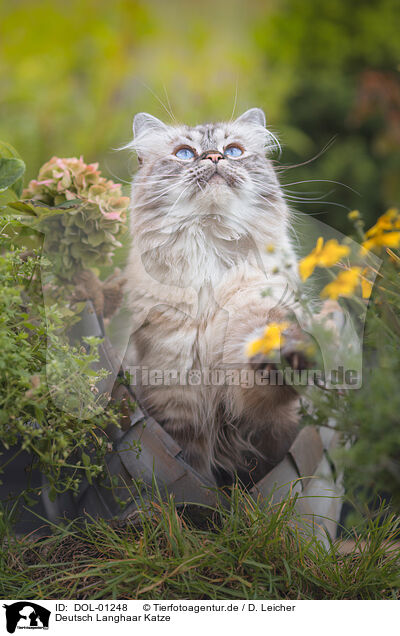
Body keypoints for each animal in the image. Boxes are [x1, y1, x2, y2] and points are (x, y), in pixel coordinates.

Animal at [125, 108, 306, 486]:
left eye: (233, 151)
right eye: (184, 154)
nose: (213, 157)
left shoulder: (260, 416)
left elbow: (262, 362)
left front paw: (285, 355)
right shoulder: (175, 400)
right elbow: (190, 471)